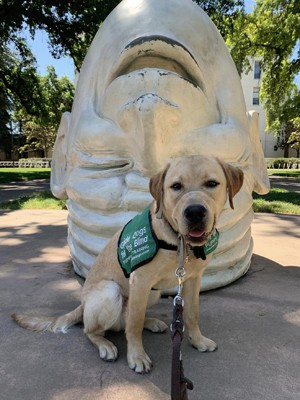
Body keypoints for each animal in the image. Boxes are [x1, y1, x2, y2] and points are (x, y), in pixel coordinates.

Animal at [12, 155, 244, 372]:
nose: (195, 212)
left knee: (125, 320)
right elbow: (134, 324)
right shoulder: (140, 280)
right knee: (94, 329)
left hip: (153, 293)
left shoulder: (192, 279)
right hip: (111, 291)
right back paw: (105, 345)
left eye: (212, 183)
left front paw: (198, 340)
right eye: (176, 186)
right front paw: (137, 356)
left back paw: (151, 322)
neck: (180, 243)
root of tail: (83, 304)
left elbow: (191, 314)